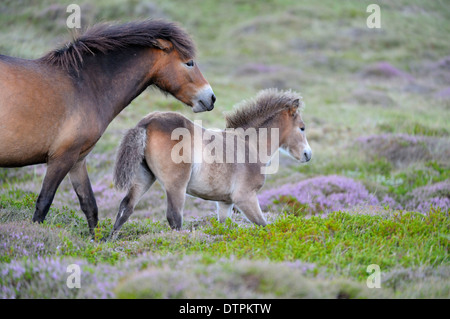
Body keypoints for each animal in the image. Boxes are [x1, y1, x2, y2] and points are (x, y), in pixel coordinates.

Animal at [0, 20, 216, 235]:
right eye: (189, 62)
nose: (211, 98)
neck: (83, 84)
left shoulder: (77, 160)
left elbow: (90, 206)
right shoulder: (61, 158)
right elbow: (43, 203)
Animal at [110, 89, 312, 239]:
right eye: (302, 127)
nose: (308, 155)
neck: (251, 145)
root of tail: (148, 122)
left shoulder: (225, 203)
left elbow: (224, 227)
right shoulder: (245, 197)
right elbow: (264, 225)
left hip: (143, 178)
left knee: (125, 208)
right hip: (176, 185)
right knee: (174, 217)